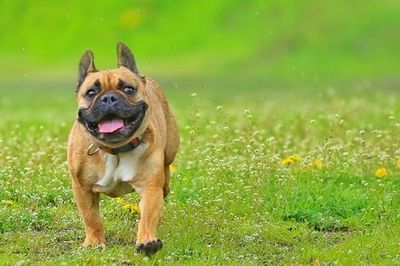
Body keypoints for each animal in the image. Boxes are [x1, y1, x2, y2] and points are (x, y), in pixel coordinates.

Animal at [67, 42, 180, 256]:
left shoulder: (149, 187)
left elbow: (147, 216)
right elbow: (91, 217)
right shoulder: (82, 187)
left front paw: (147, 242)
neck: (115, 150)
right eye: (91, 93)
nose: (109, 98)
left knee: (166, 168)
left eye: (128, 89)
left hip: (171, 148)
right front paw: (94, 242)